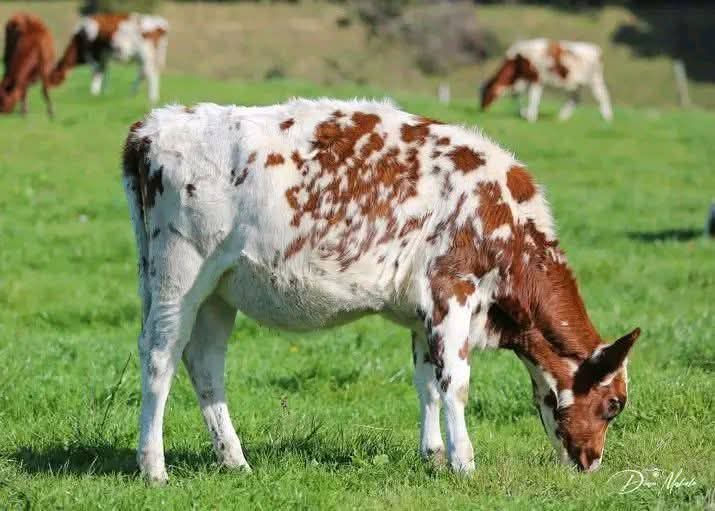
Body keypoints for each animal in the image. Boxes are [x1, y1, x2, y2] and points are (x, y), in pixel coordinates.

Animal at [122, 99, 640, 483]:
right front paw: (464, 462)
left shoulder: (422, 313)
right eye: (614, 404)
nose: (592, 462)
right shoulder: (452, 289)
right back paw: (154, 468)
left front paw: (433, 455)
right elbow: (456, 383)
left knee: (205, 363)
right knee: (160, 356)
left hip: (217, 290)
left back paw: (234, 461)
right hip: (179, 274)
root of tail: (154, 124)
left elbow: (427, 382)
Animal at [481, 38, 613, 122]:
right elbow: (517, 95)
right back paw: (561, 117)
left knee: (602, 96)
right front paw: (524, 113)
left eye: (486, 93)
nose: (482, 109)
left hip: (595, 79)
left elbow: (533, 97)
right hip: (575, 83)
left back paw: (607, 118)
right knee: (575, 99)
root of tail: (596, 49)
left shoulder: (536, 78)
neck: (518, 60)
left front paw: (530, 116)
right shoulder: (525, 79)